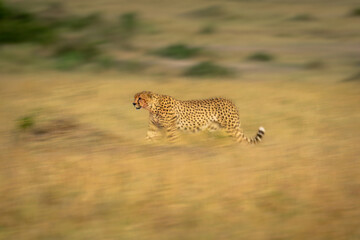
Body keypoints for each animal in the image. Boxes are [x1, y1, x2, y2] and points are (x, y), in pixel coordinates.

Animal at [132, 91, 264, 144]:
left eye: (140, 98)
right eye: (135, 97)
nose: (133, 103)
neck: (153, 106)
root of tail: (231, 102)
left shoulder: (170, 128)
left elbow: (173, 140)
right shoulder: (154, 127)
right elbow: (149, 138)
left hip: (231, 128)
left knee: (241, 141)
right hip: (213, 129)